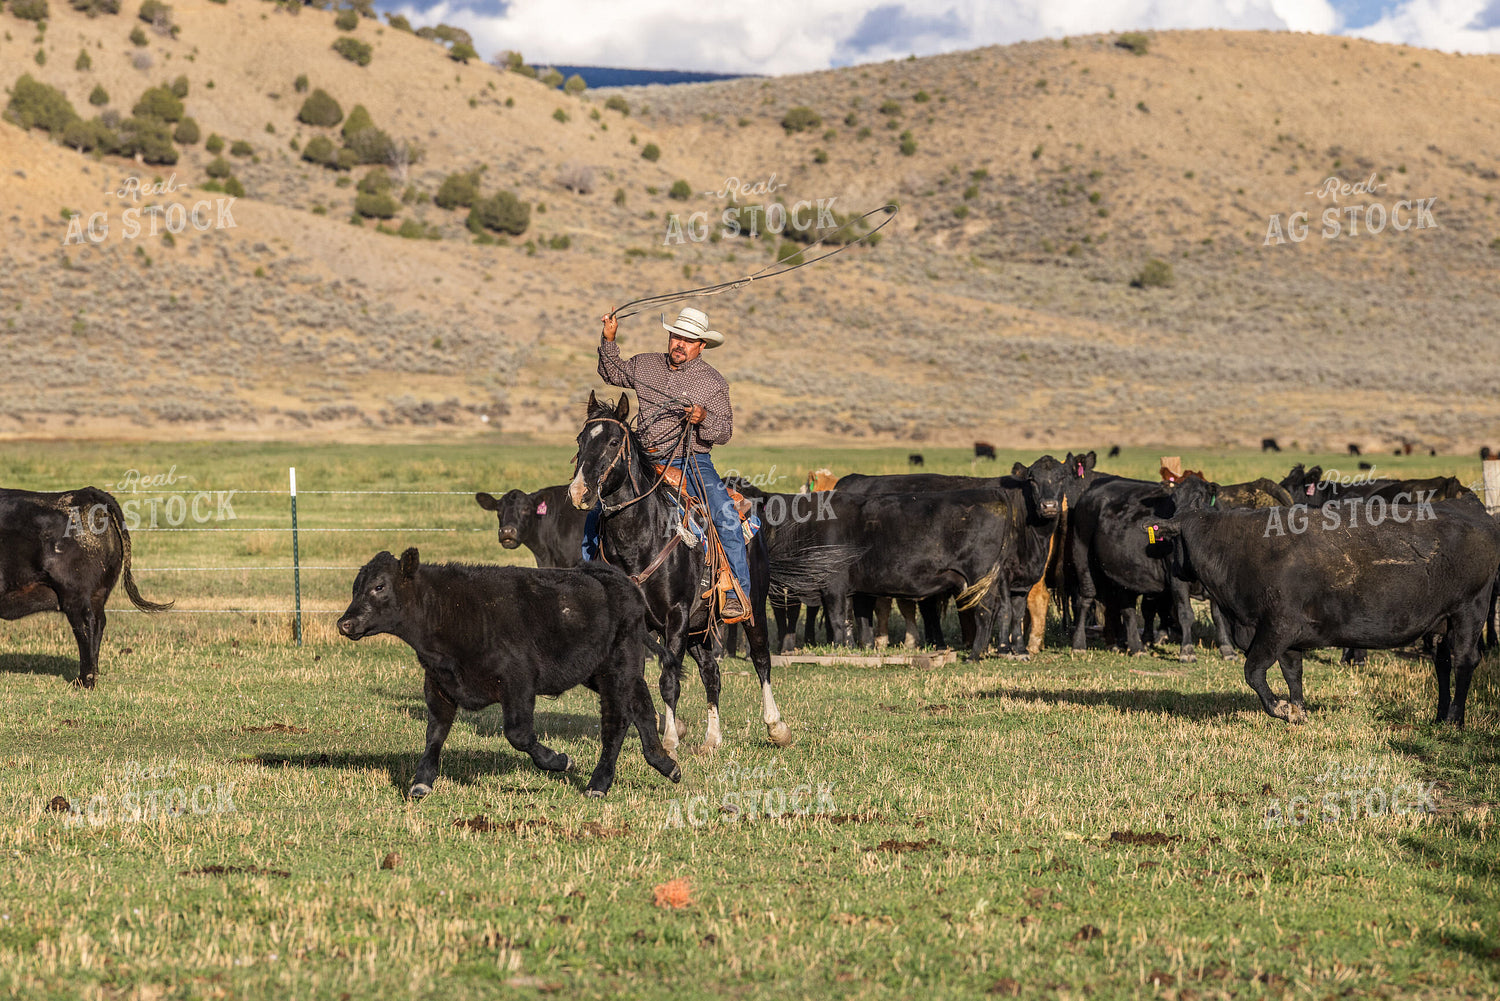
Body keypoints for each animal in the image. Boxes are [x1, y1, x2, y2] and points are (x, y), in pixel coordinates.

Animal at [1, 487, 172, 688]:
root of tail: (87, 493)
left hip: (75, 593)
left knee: (86, 625)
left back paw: (85, 681)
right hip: (98, 593)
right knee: (98, 624)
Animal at [337, 550, 681, 799]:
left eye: (379, 586)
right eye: (355, 588)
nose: (345, 623)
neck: (451, 611)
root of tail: (621, 581)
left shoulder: (518, 681)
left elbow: (518, 734)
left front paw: (559, 760)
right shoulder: (438, 682)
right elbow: (435, 732)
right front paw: (422, 781)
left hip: (618, 667)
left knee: (617, 721)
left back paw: (598, 784)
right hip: (606, 671)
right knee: (642, 708)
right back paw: (666, 764)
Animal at [1150, 499, 1500, 726]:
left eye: (1173, 541)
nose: (1174, 571)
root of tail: (1476, 511)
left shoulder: (1277, 626)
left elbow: (1253, 672)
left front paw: (1278, 708)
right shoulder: (1289, 637)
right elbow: (1293, 674)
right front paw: (1297, 712)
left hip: (1470, 610)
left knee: (1464, 660)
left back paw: (1455, 720)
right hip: (1441, 621)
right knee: (1442, 662)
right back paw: (1440, 717)